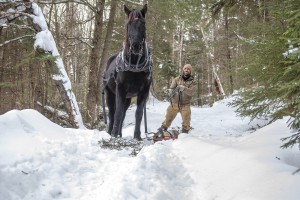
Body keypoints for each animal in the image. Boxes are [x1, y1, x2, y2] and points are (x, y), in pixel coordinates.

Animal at [102, 3, 151, 140]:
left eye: (143, 23)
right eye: (128, 24)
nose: (135, 46)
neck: (134, 64)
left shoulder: (144, 90)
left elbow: (138, 113)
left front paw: (137, 136)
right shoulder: (120, 89)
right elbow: (117, 113)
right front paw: (113, 135)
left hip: (128, 98)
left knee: (123, 113)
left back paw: (119, 133)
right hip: (110, 93)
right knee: (112, 113)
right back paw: (111, 132)